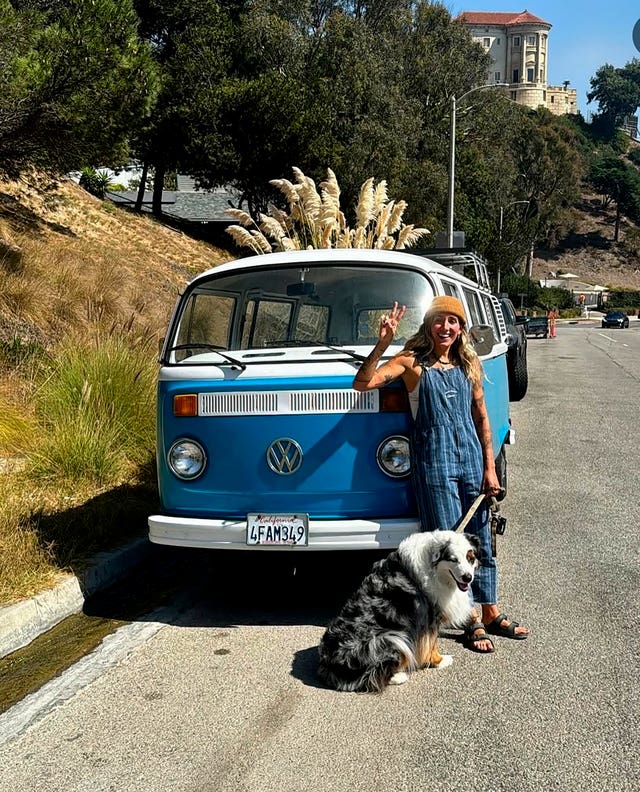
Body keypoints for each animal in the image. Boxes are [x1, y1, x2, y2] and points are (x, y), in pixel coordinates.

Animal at [318, 532, 478, 692]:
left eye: (470, 558)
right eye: (453, 559)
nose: (468, 577)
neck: (434, 567)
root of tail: (328, 666)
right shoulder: (429, 617)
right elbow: (432, 644)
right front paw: (440, 661)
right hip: (389, 639)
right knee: (372, 677)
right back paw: (398, 676)